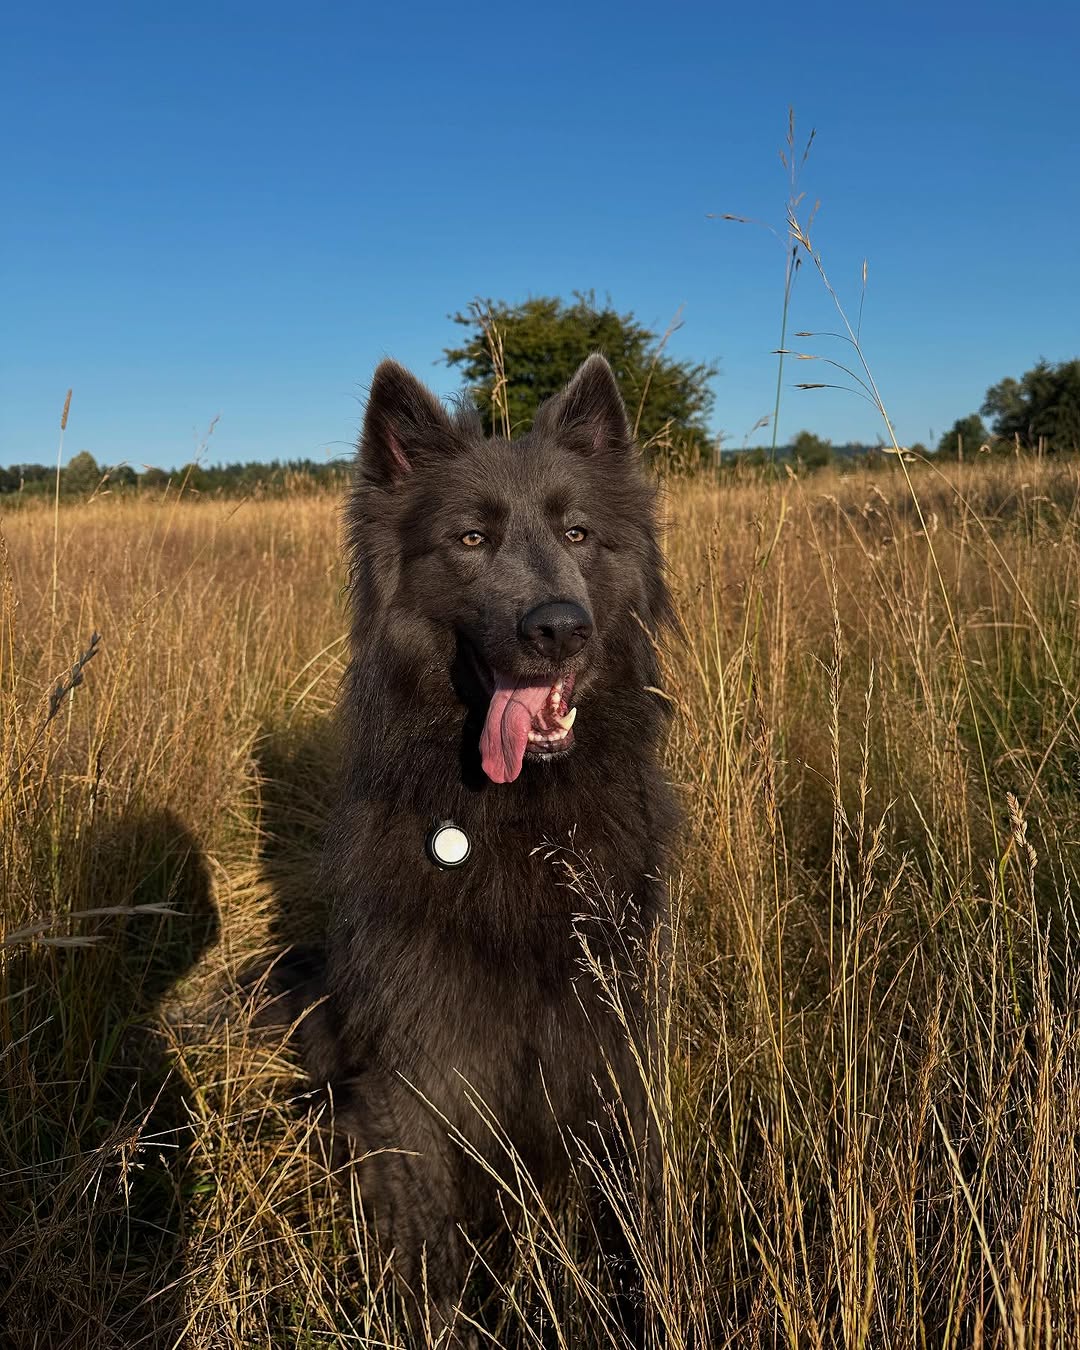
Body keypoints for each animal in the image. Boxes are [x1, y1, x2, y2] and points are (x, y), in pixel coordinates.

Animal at [295, 356, 675, 1339]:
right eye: (470, 538)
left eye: (579, 532)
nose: (560, 627)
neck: (519, 822)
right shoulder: (416, 1075)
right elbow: (431, 1252)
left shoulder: (603, 1048)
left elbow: (624, 1213)